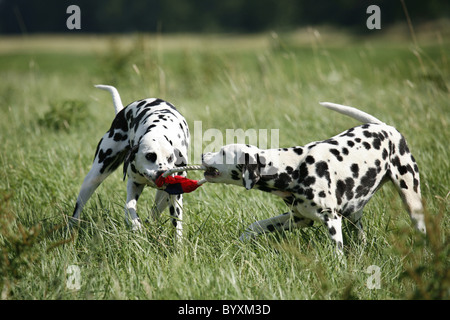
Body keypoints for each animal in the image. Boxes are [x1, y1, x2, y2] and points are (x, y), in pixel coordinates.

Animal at [71, 85, 190, 238]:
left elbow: (176, 223)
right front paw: (136, 226)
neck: (159, 130)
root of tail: (122, 111)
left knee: (154, 212)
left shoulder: (173, 195)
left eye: (170, 158)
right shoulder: (134, 184)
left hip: (163, 198)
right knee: (78, 208)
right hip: (93, 178)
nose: (162, 174)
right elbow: (129, 207)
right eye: (150, 156)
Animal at [202, 102, 428, 255]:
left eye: (223, 152)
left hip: (411, 198)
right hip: (354, 210)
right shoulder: (298, 218)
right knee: (361, 233)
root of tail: (384, 126)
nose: (203, 155)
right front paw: (241, 241)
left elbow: (337, 254)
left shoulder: (332, 220)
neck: (295, 168)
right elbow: (255, 226)